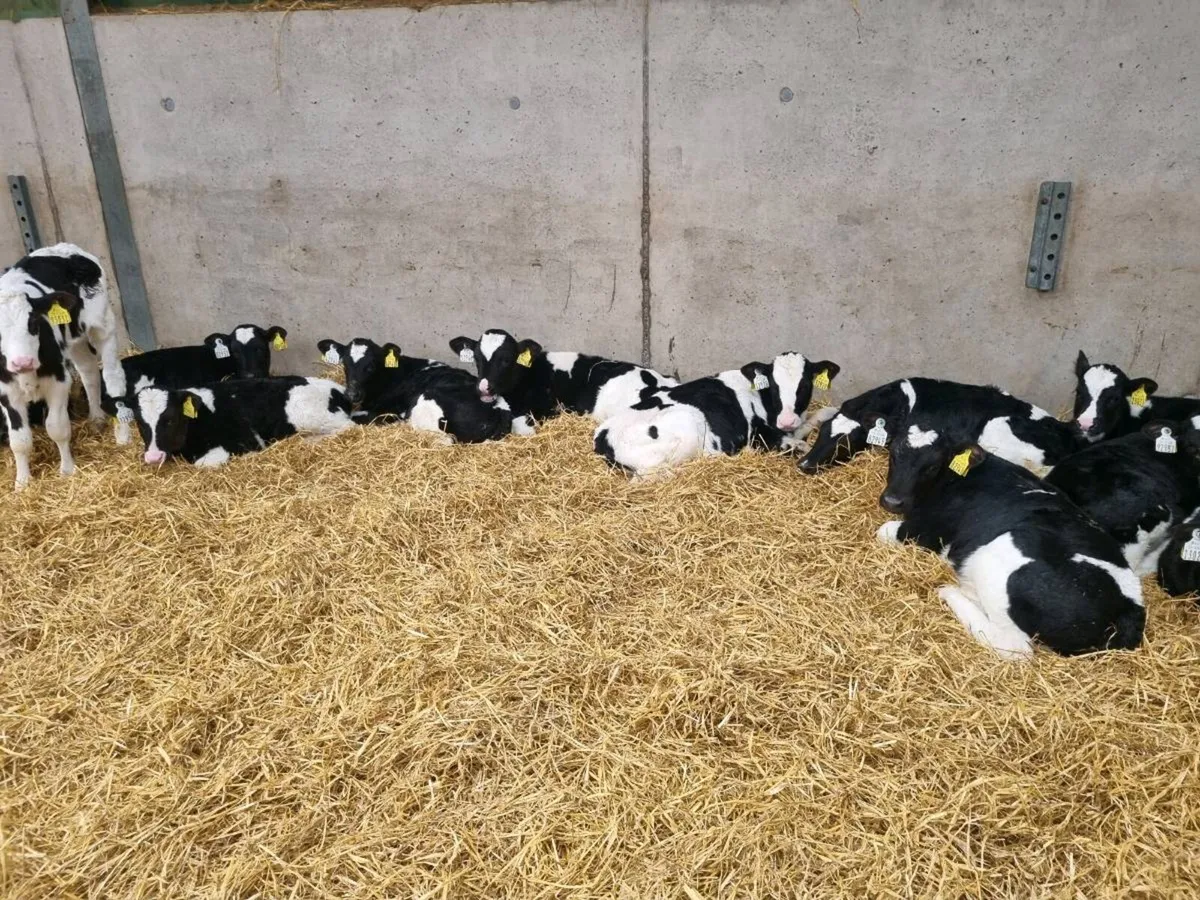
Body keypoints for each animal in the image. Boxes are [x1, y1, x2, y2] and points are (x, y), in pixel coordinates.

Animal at [0, 243, 126, 432]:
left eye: (34, 321)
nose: (23, 362)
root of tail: (63, 247)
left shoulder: (59, 379)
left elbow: (55, 427)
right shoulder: (6, 392)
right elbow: (20, 437)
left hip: (103, 325)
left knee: (113, 375)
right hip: (74, 342)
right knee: (88, 370)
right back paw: (96, 419)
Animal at [132, 376, 352, 468]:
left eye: (170, 419)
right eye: (140, 422)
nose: (153, 457)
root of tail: (338, 388)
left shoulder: (242, 441)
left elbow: (203, 464)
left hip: (307, 414)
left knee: (348, 427)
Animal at [593, 352, 840, 477]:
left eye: (804, 385)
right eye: (774, 385)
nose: (787, 420)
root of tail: (602, 437)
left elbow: (821, 415)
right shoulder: (761, 435)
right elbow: (800, 445)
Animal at [873, 427, 1145, 659]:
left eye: (931, 466)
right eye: (894, 454)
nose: (892, 501)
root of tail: (1129, 607)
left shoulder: (926, 530)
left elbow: (883, 532)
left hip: (997, 558)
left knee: (1016, 647)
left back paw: (950, 592)